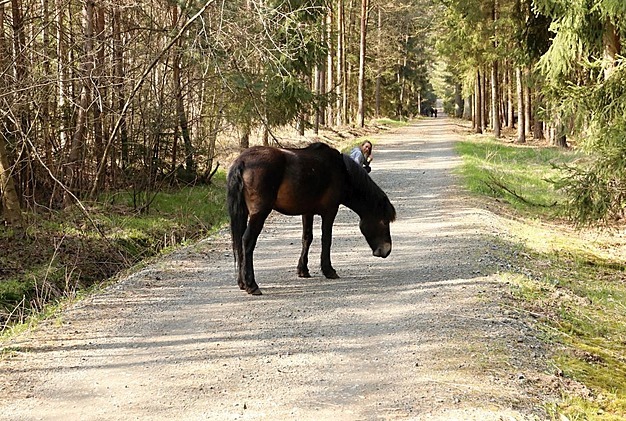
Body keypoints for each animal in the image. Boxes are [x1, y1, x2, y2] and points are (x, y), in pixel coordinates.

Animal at [227, 143, 394, 294]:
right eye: (384, 221)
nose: (386, 250)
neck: (342, 171)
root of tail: (242, 161)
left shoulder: (307, 212)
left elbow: (307, 238)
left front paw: (303, 270)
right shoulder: (330, 211)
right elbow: (326, 239)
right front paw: (329, 270)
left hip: (243, 213)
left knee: (239, 241)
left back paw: (242, 283)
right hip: (259, 213)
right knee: (247, 241)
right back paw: (251, 285)